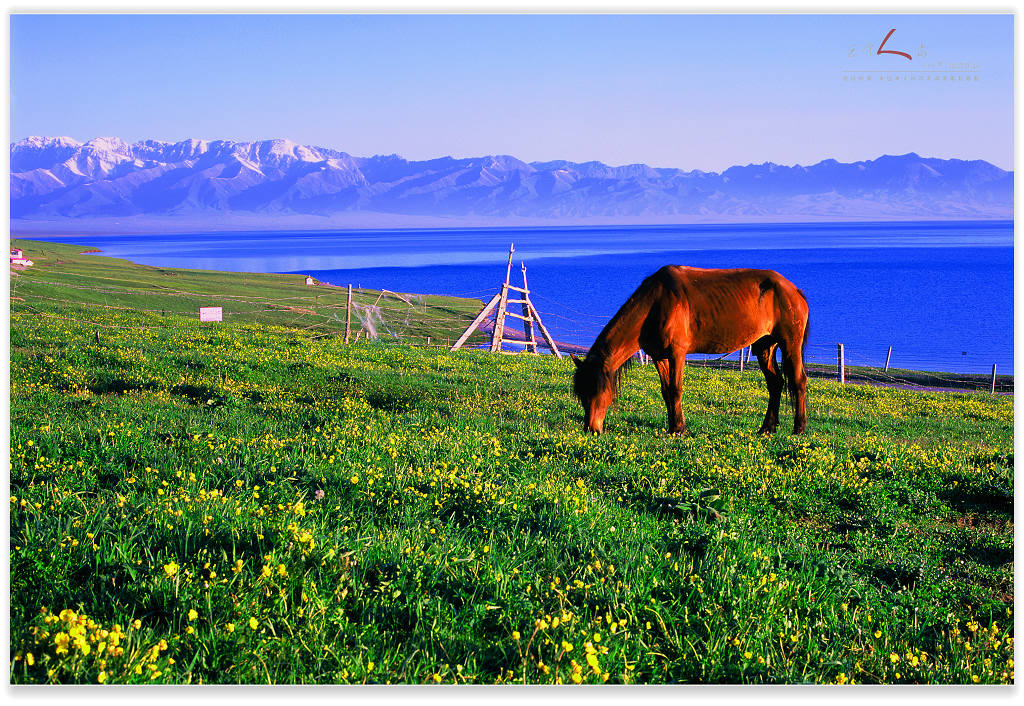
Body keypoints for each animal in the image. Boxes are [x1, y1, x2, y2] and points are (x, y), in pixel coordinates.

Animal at [569, 266, 806, 434]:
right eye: (581, 393)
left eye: (599, 391)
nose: (591, 430)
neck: (655, 304)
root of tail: (794, 290)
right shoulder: (660, 357)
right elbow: (666, 391)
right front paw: (674, 427)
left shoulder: (677, 354)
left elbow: (676, 389)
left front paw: (679, 430)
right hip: (765, 346)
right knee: (775, 384)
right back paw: (767, 428)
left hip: (790, 345)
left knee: (798, 381)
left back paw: (799, 428)